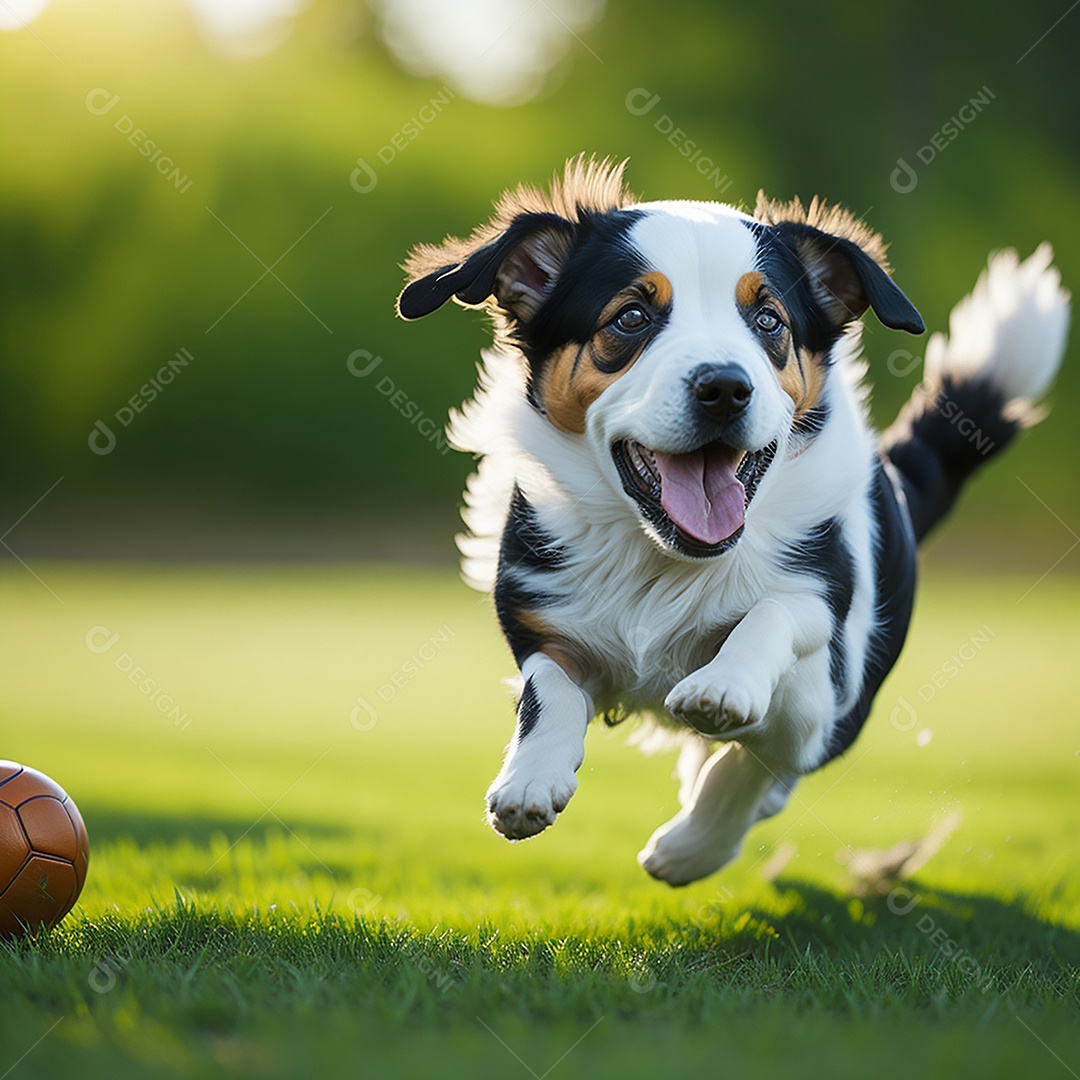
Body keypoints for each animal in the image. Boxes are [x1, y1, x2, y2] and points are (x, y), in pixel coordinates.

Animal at [395, 157, 1062, 885]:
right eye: (631, 317)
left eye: (768, 320)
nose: (724, 387)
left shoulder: (823, 691)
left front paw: (694, 832)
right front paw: (530, 778)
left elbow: (764, 681)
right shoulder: (540, 620)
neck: (667, 561)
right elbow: (548, 689)